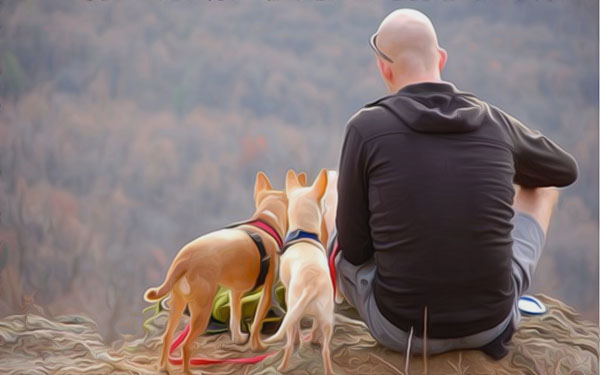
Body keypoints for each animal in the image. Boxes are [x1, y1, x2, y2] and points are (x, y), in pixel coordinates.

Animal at [144, 172, 288, 374]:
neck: (265, 222)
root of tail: (183, 260)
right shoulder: (267, 292)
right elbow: (257, 322)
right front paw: (258, 346)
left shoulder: (235, 292)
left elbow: (235, 317)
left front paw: (238, 338)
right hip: (201, 311)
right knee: (185, 345)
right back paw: (189, 371)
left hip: (178, 304)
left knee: (167, 336)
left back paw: (164, 367)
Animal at [264, 170, 336, 375]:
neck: (303, 233)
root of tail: (312, 286)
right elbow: (313, 328)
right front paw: (312, 340)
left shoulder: (288, 293)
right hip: (327, 318)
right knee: (326, 348)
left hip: (293, 308)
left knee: (289, 341)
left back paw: (282, 366)